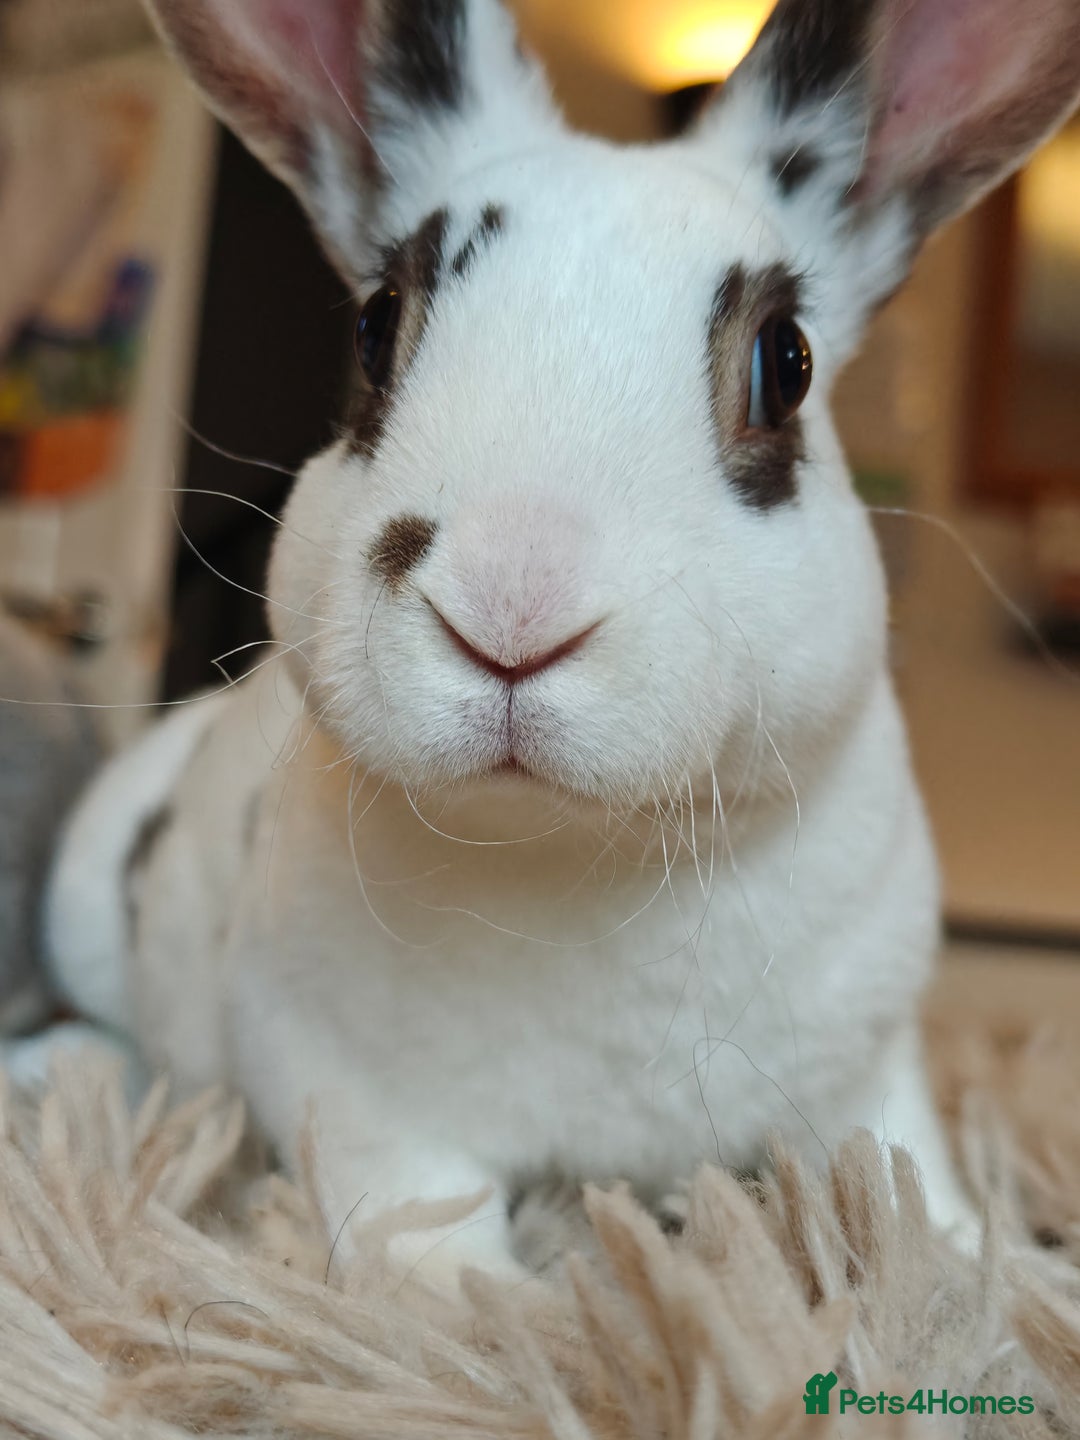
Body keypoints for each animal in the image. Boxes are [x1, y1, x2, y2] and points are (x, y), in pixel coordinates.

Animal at [45, 0, 1080, 1290]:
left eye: (784, 363)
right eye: (377, 331)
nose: (513, 608)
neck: (582, 853)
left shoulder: (870, 1070)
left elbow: (913, 1196)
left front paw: (1011, 1272)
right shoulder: (355, 1099)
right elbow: (436, 1260)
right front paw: (496, 1308)